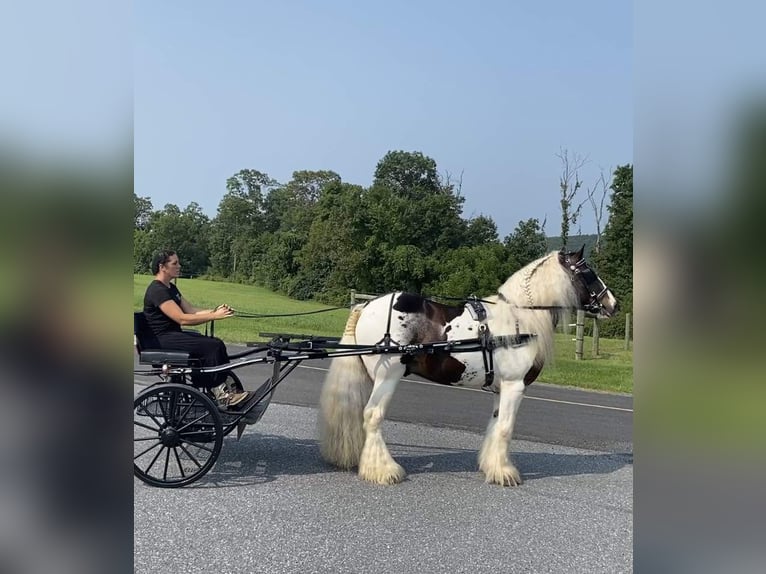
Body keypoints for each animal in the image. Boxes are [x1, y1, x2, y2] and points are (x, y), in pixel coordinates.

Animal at [318, 245, 624, 488]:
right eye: (588, 272)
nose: (614, 304)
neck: (518, 320)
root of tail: (366, 306)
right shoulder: (515, 386)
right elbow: (506, 429)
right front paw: (506, 474)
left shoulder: (501, 389)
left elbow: (495, 426)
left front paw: (492, 467)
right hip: (388, 376)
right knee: (372, 415)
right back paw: (384, 470)